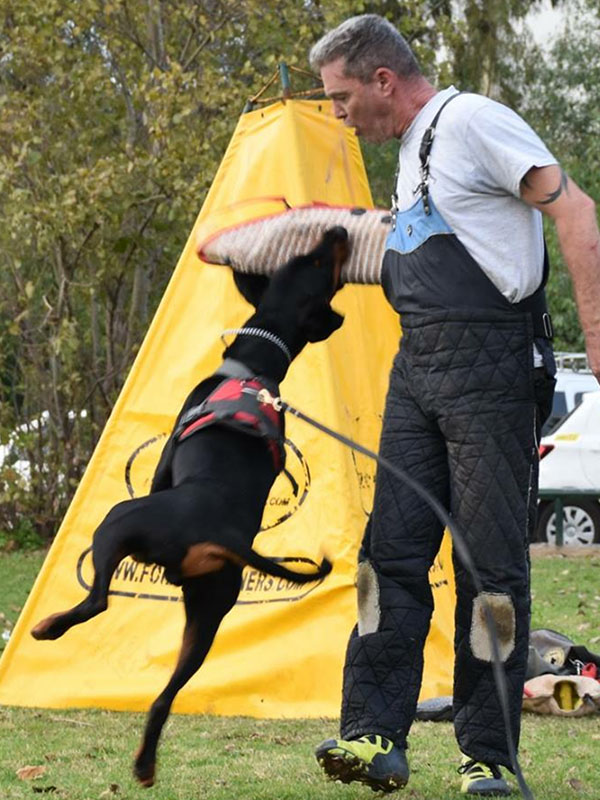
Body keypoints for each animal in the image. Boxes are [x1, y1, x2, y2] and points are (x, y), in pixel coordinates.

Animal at [32, 227, 350, 788]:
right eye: (310, 259)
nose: (338, 232)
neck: (256, 364)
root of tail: (221, 535)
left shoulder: (161, 466)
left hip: (114, 523)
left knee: (97, 602)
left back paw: (49, 627)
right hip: (206, 618)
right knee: (164, 697)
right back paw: (144, 765)